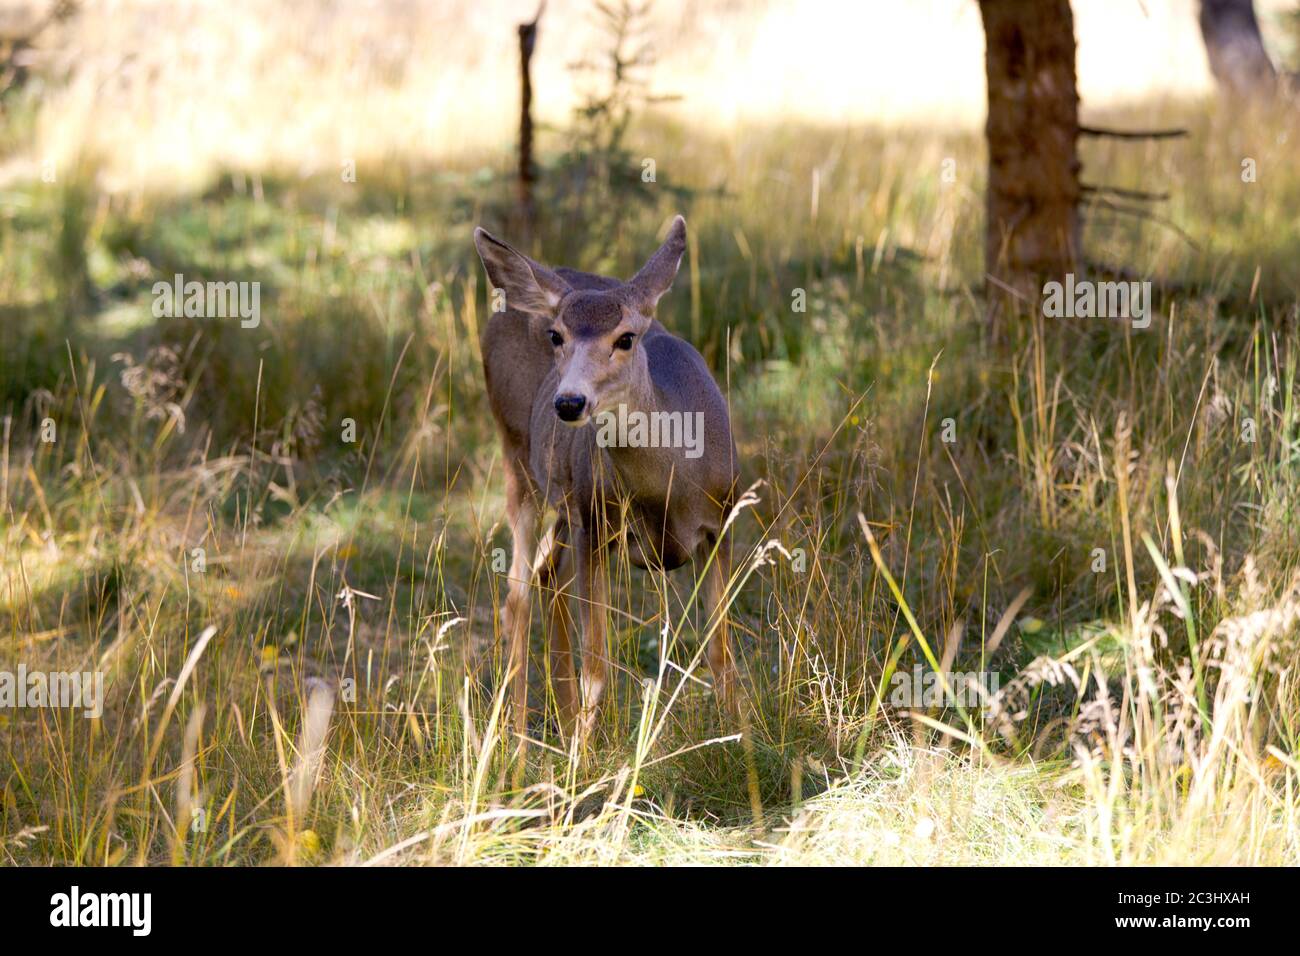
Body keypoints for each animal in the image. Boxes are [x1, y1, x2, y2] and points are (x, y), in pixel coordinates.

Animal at [473, 215, 739, 745]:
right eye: (556, 336)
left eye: (626, 337)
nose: (569, 402)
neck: (667, 491)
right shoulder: (595, 527)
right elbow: (597, 664)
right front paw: (584, 756)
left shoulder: (720, 521)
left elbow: (721, 654)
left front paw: (745, 738)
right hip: (521, 461)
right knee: (517, 595)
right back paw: (519, 741)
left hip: (568, 498)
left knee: (546, 575)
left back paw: (560, 721)